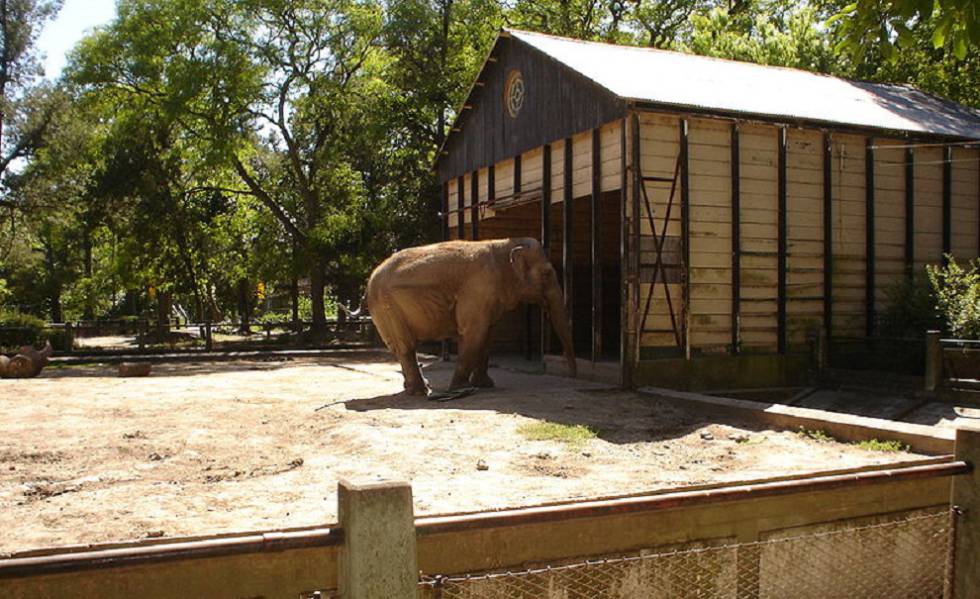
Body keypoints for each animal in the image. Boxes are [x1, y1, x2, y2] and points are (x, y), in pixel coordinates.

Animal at [366, 237, 580, 396]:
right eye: (547, 273)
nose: (572, 376)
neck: (504, 246)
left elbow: (487, 336)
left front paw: (486, 385)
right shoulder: (479, 289)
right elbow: (474, 333)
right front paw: (463, 388)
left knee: (399, 347)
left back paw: (412, 389)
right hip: (387, 306)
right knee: (406, 346)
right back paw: (421, 391)